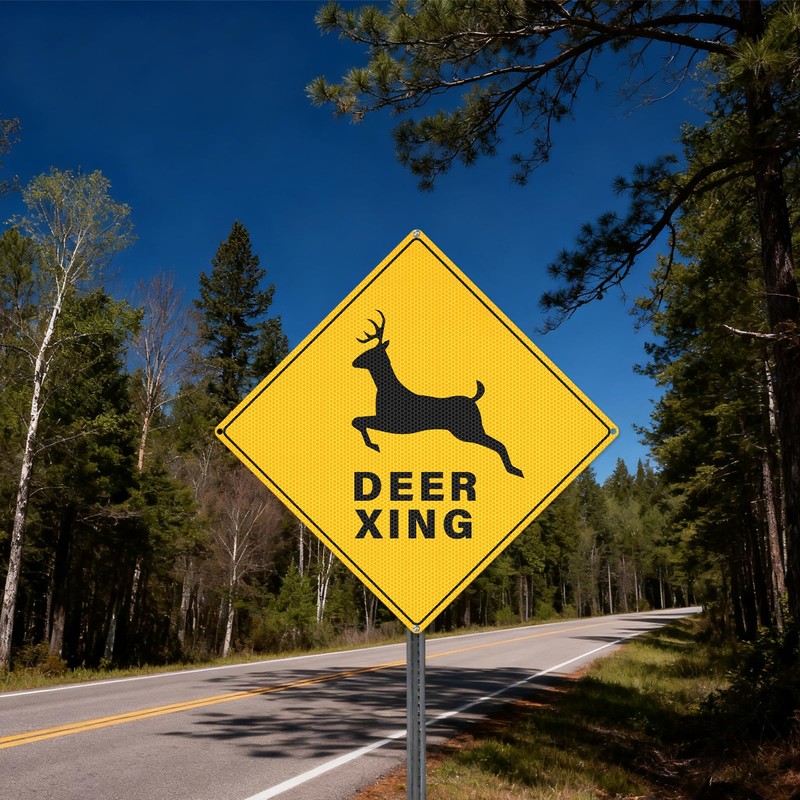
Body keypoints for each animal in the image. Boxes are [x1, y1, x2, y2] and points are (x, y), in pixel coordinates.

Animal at [351, 311, 524, 478]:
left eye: (370, 352)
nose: (354, 362)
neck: (388, 389)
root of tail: (473, 399)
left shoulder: (390, 422)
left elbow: (358, 421)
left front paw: (373, 445)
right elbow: (357, 421)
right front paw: (372, 444)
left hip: (469, 429)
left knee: (498, 444)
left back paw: (515, 470)